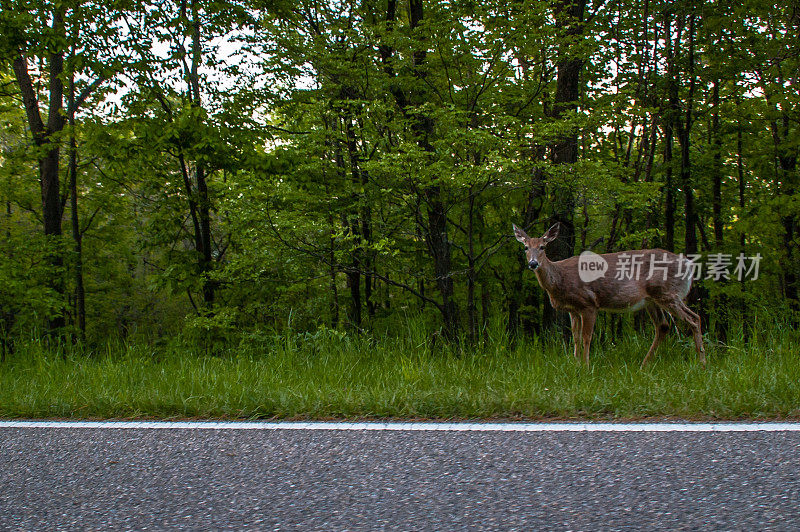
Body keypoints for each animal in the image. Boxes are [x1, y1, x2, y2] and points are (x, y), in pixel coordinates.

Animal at [512, 222, 708, 368]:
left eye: (543, 247)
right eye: (525, 248)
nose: (533, 263)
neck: (560, 279)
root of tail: (689, 265)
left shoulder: (589, 303)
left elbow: (586, 337)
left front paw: (585, 366)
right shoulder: (572, 309)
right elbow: (575, 338)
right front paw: (575, 364)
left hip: (667, 292)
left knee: (694, 318)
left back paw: (702, 363)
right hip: (652, 299)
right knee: (663, 326)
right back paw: (644, 365)